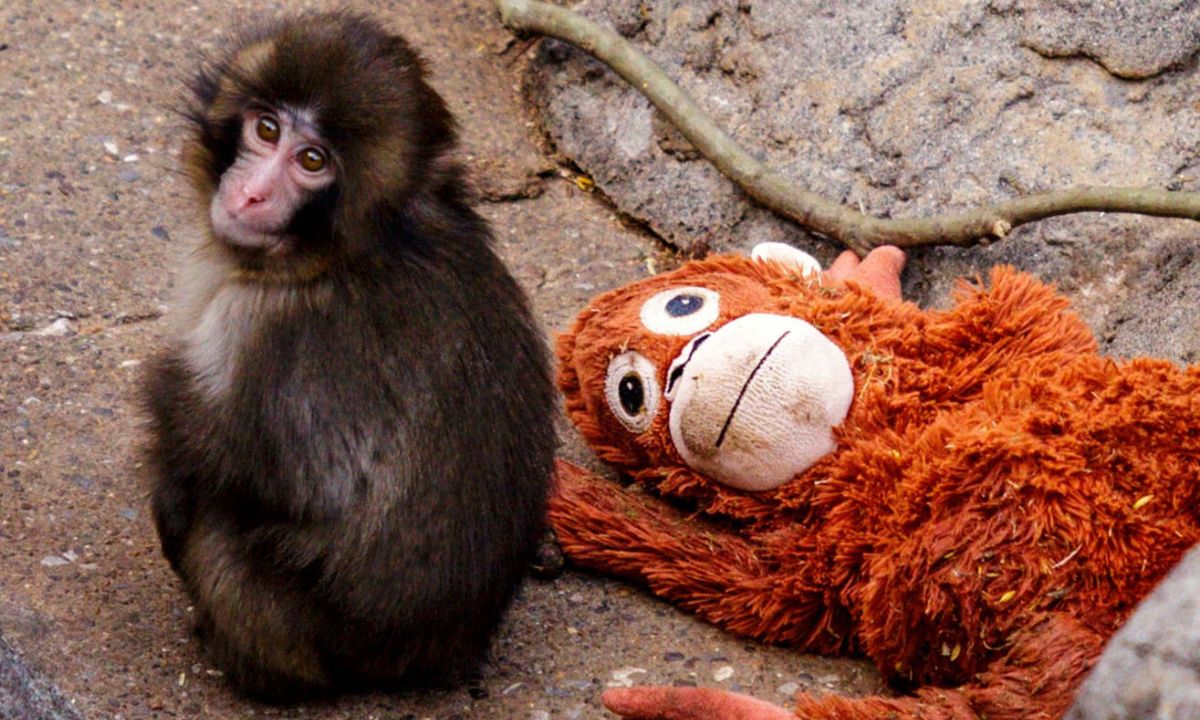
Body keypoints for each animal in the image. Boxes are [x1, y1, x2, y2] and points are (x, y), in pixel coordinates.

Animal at [143, 11, 558, 701]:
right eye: (266, 128)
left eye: (312, 161)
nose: (251, 195)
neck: (353, 251)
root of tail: (445, 651)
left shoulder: (259, 326)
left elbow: (273, 478)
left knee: (217, 531)